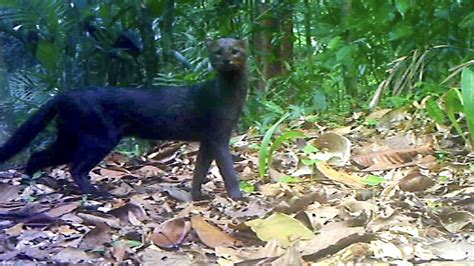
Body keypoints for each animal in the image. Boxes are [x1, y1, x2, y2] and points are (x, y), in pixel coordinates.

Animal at [0, 37, 248, 200]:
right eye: (218, 52)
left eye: (235, 51)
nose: (226, 60)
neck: (230, 94)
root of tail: (64, 94)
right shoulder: (218, 136)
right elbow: (227, 168)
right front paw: (238, 196)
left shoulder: (208, 138)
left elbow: (200, 169)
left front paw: (196, 196)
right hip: (100, 137)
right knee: (75, 167)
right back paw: (100, 193)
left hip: (69, 136)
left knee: (39, 155)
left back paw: (30, 183)